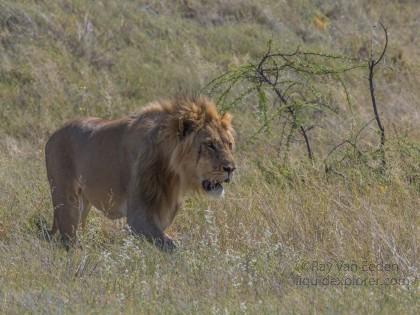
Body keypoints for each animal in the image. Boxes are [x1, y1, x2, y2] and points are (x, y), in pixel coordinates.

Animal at [46, 96, 236, 252]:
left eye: (229, 144)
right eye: (210, 145)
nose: (231, 169)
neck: (174, 175)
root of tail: (54, 134)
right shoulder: (138, 217)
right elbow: (173, 248)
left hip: (83, 203)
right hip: (66, 201)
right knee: (68, 240)